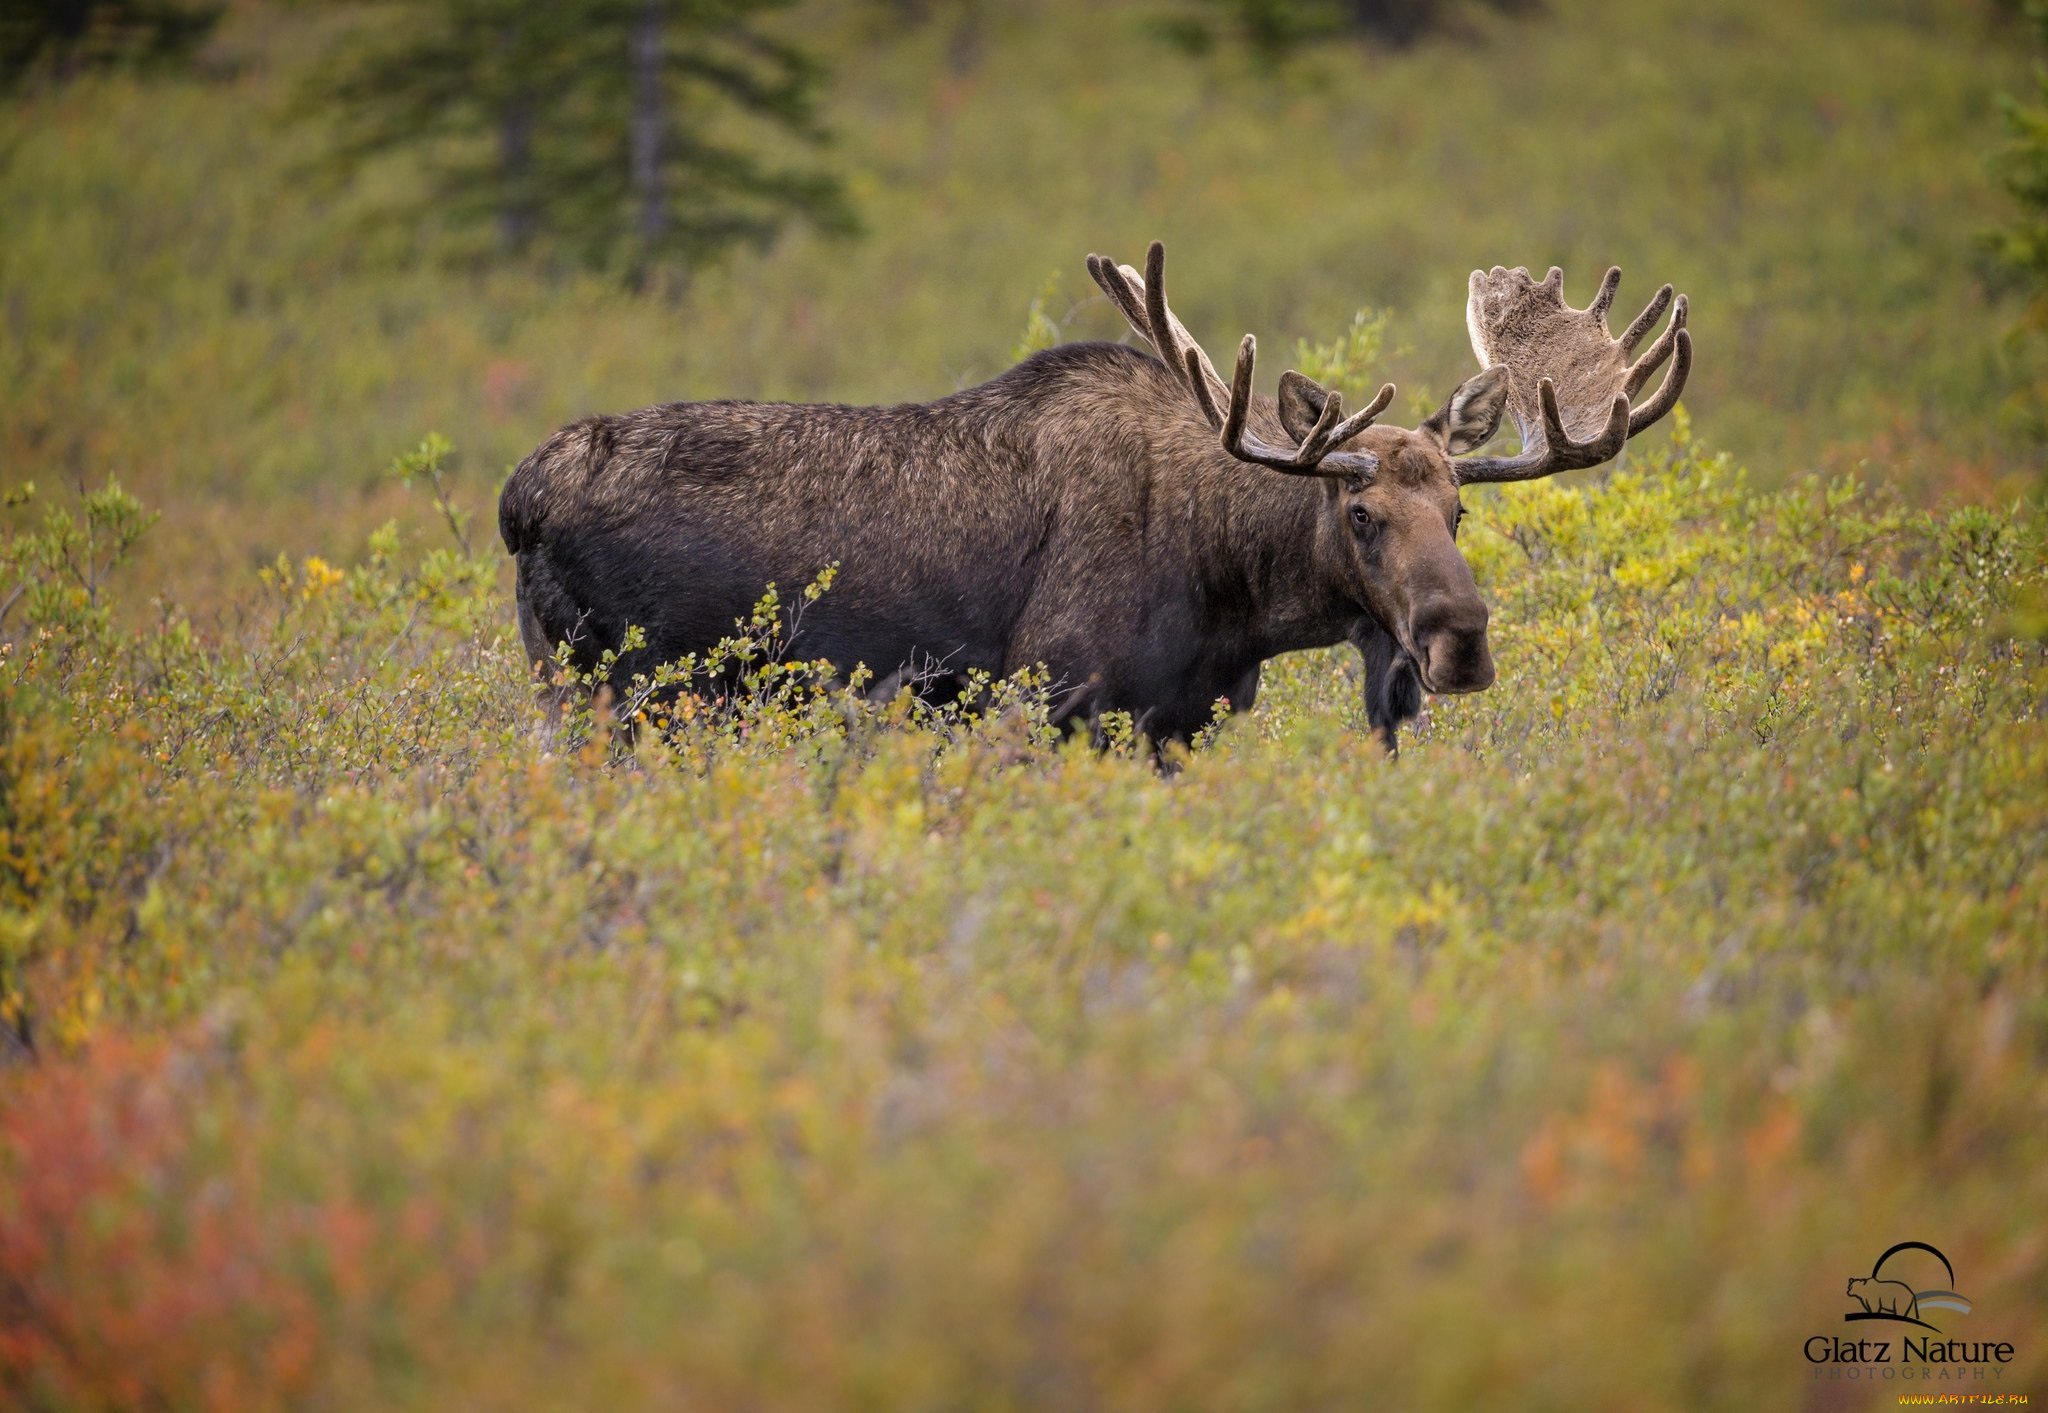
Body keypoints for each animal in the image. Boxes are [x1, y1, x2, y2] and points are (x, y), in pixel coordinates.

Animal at [503, 241, 1687, 749]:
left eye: (1459, 510)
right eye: (1360, 514)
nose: (1460, 640)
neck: (1235, 599)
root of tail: (521, 497)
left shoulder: (1179, 723)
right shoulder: (1055, 699)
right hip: (625, 690)